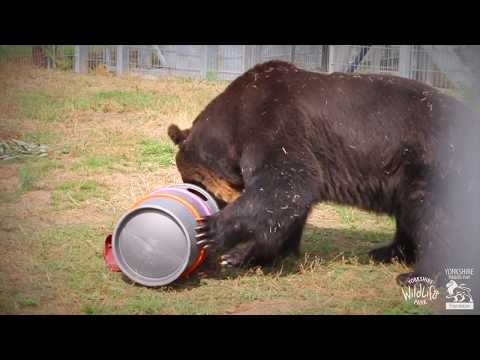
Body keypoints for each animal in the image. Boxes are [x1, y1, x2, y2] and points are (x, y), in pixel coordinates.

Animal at [167, 59, 478, 286]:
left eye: (193, 182)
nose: (208, 203)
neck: (234, 122)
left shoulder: (273, 124)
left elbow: (286, 181)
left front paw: (213, 232)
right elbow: (290, 205)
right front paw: (248, 255)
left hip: (430, 163)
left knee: (431, 216)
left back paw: (416, 274)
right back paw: (386, 251)